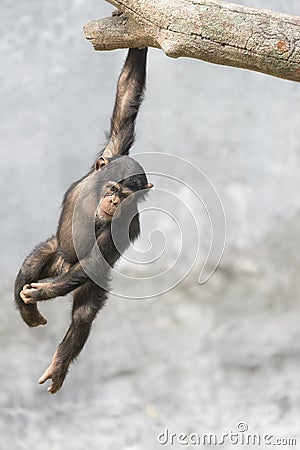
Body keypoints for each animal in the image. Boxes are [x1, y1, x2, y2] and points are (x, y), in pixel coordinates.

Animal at [13, 46, 152, 394]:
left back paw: (59, 362)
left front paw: (41, 294)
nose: (113, 200)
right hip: (55, 252)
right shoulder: (112, 150)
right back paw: (28, 310)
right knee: (30, 266)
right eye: (113, 188)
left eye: (125, 196)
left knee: (83, 314)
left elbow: (97, 256)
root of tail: (62, 265)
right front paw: (139, 37)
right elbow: (127, 97)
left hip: (84, 279)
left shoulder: (126, 225)